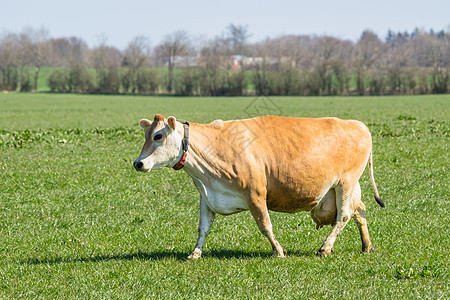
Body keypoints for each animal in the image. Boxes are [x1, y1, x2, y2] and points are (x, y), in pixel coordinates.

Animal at [133, 113, 384, 258]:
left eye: (157, 136)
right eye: (145, 135)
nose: (138, 163)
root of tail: (358, 124)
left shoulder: (255, 193)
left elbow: (265, 226)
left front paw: (279, 251)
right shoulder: (208, 195)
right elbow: (203, 228)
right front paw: (195, 253)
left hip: (345, 183)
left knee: (344, 215)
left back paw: (325, 248)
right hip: (344, 189)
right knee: (359, 211)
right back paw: (367, 246)